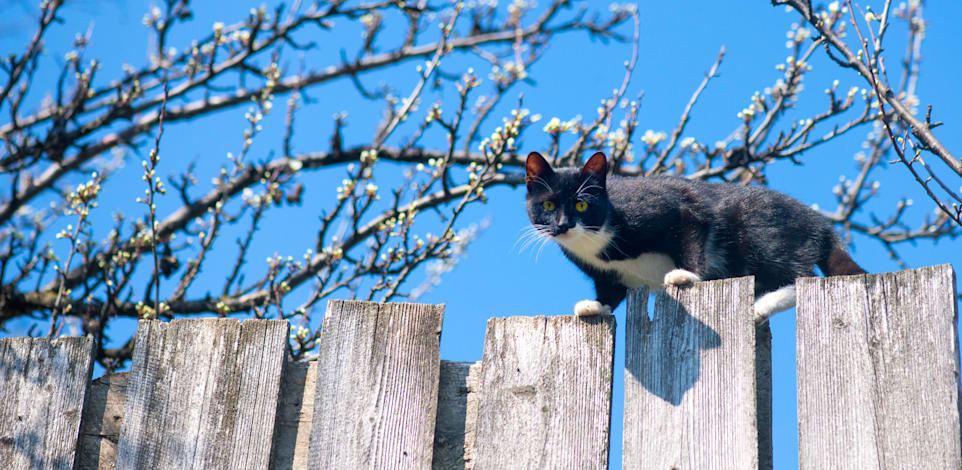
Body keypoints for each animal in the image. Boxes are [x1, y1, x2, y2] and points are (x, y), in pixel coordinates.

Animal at [520, 151, 868, 324]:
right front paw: (595, 306)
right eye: (548, 205)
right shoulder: (606, 273)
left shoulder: (671, 208)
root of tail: (821, 223)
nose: (563, 225)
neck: (596, 239)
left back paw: (762, 305)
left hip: (760, 231)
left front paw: (685, 274)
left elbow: (691, 228)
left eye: (582, 204)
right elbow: (611, 290)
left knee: (804, 276)